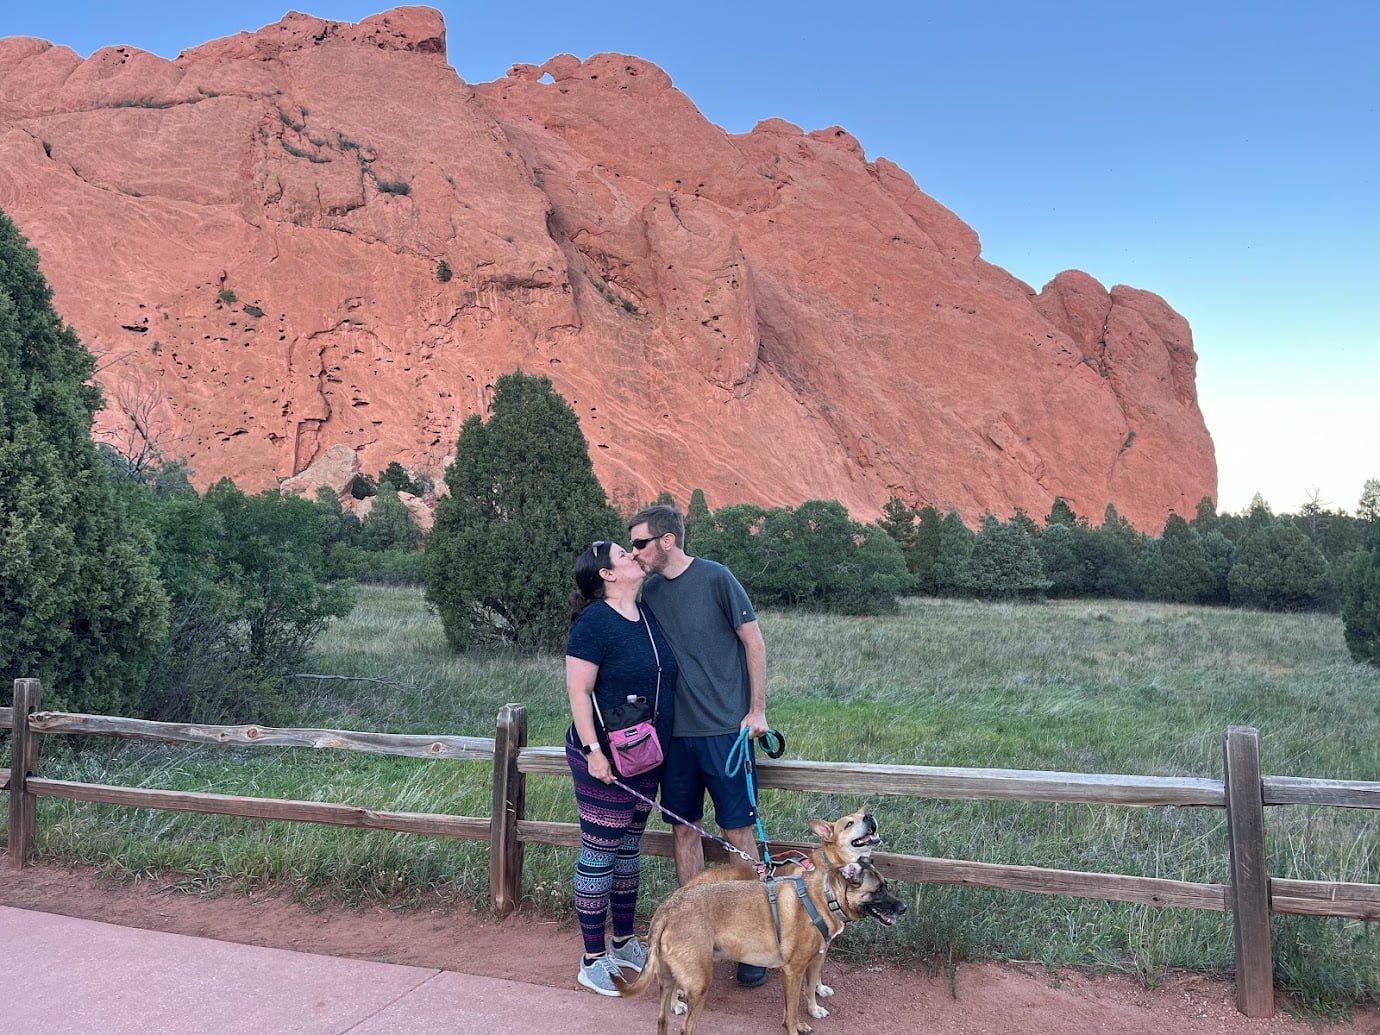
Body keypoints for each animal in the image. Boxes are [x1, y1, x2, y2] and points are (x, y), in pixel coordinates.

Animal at [615, 861, 905, 1035]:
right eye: (878, 889)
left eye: (886, 886)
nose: (903, 908)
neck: (826, 896)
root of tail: (666, 909)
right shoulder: (793, 971)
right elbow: (792, 1011)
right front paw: (795, 1027)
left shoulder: (810, 963)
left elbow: (806, 993)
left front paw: (810, 1012)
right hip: (699, 982)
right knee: (686, 1027)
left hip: (670, 979)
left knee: (663, 1020)